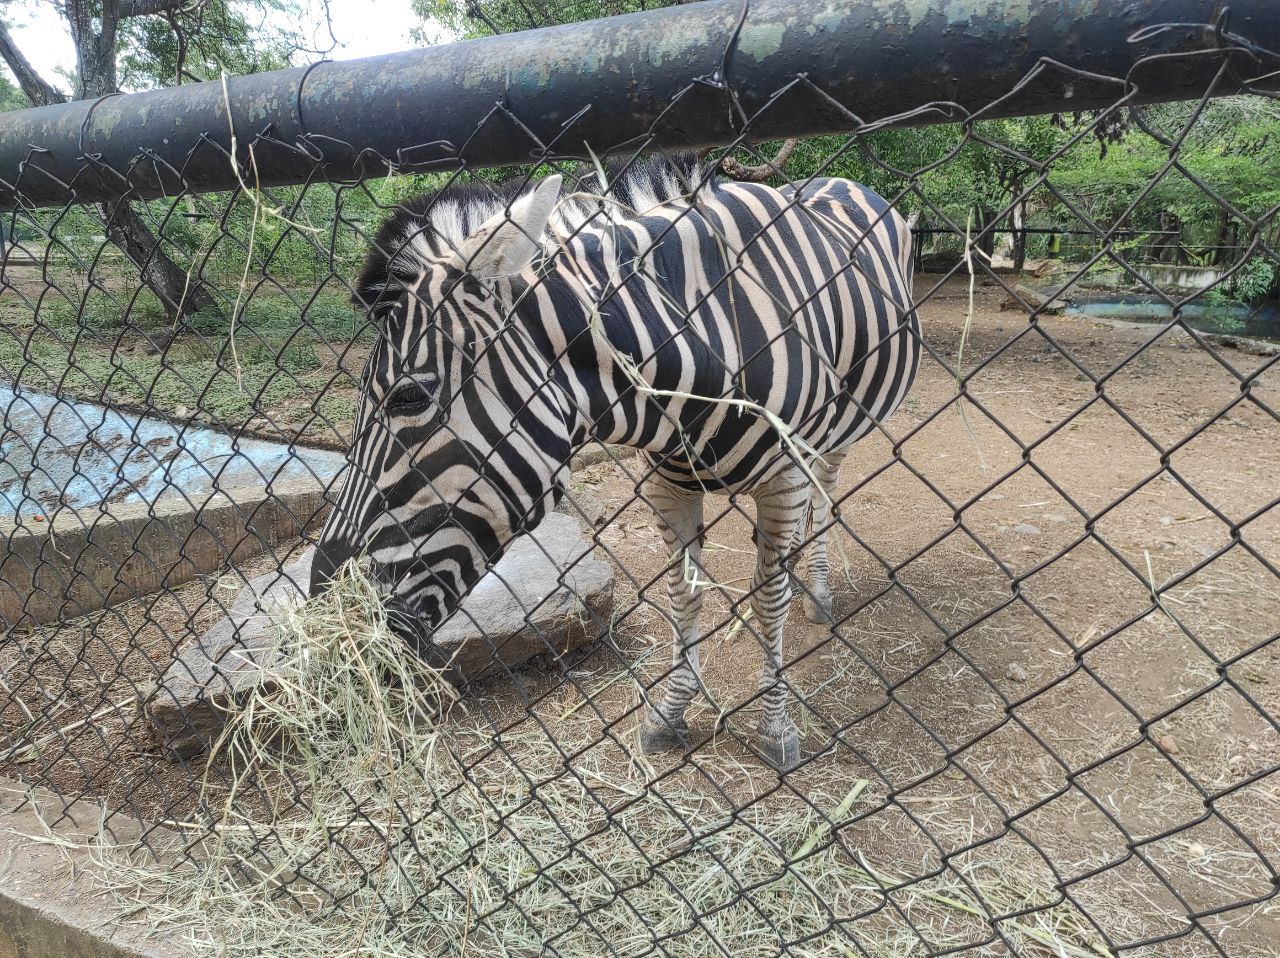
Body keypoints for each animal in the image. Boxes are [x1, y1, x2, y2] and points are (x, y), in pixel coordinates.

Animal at [307, 155, 921, 768]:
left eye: (408, 397)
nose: (320, 597)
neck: (702, 348)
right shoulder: (667, 482)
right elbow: (683, 594)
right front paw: (669, 713)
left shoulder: (784, 477)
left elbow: (770, 599)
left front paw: (776, 726)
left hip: (836, 433)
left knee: (825, 491)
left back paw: (816, 589)